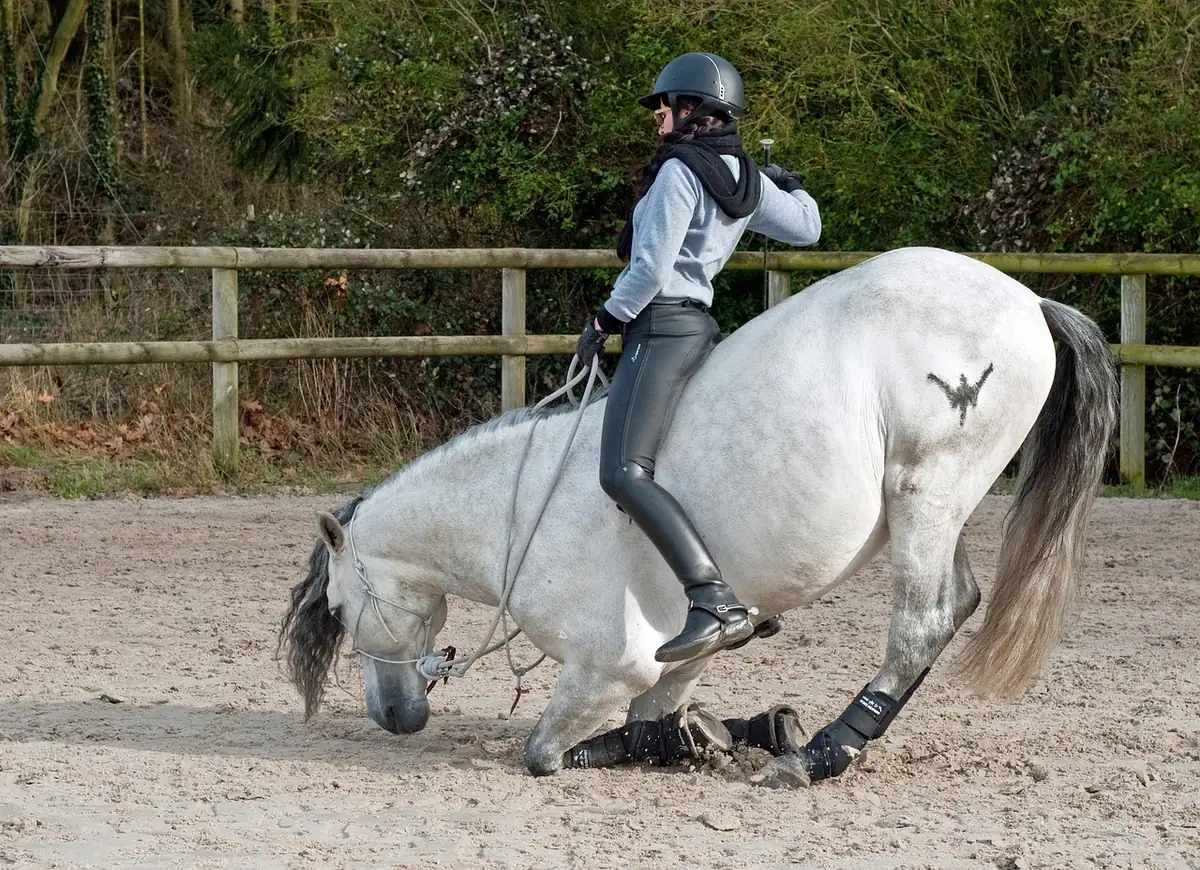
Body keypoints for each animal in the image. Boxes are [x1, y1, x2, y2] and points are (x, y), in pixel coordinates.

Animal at [277, 246, 1118, 783]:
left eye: (340, 609)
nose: (393, 715)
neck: (511, 516)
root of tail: (1028, 299)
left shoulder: (603, 668)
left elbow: (549, 751)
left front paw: (721, 737)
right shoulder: (676, 663)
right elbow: (655, 721)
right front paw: (722, 731)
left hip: (928, 493)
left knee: (923, 622)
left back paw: (820, 757)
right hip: (946, 506)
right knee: (957, 603)